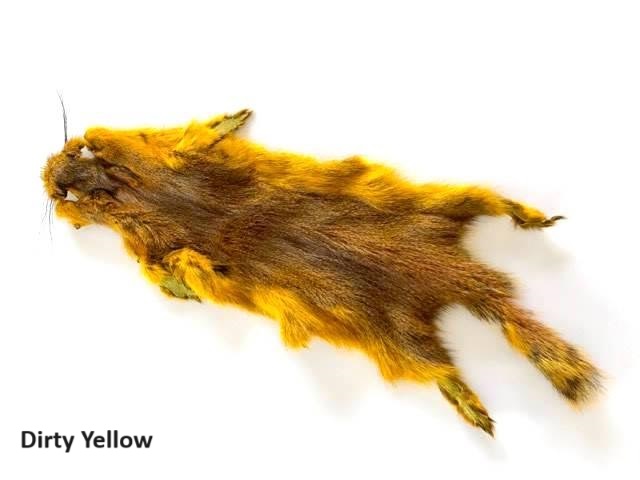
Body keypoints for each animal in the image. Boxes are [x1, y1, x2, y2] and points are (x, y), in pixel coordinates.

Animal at [42, 109, 601, 436]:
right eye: (67, 172)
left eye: (79, 148)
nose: (50, 174)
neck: (127, 190)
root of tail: (461, 278)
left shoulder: (170, 176)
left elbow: (196, 139)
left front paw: (236, 115)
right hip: (410, 314)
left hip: (434, 231)